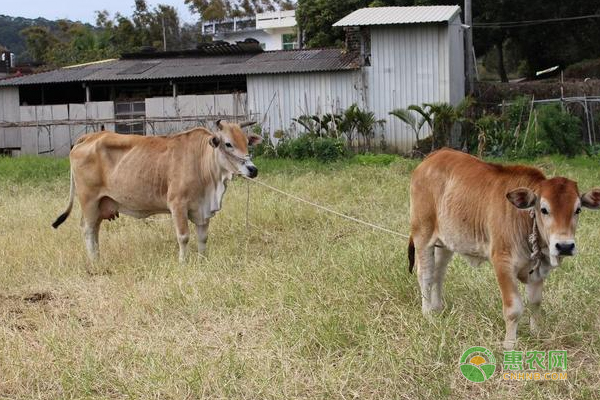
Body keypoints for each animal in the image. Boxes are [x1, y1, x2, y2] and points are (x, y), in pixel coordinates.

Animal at [53, 119, 262, 262]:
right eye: (228, 143)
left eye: (246, 142)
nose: (253, 169)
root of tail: (89, 137)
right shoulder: (177, 205)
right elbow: (183, 236)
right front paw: (183, 262)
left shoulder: (202, 210)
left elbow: (203, 238)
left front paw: (203, 260)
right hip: (89, 201)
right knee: (88, 230)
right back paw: (94, 261)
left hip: (99, 205)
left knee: (95, 230)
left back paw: (98, 257)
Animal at [408, 148, 600, 348]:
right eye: (544, 209)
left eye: (578, 210)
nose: (564, 246)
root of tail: (433, 156)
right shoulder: (502, 262)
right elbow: (513, 308)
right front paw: (509, 344)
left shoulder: (539, 270)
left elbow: (535, 302)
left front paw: (536, 334)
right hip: (422, 233)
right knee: (425, 274)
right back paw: (428, 314)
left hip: (445, 244)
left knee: (438, 273)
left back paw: (437, 308)